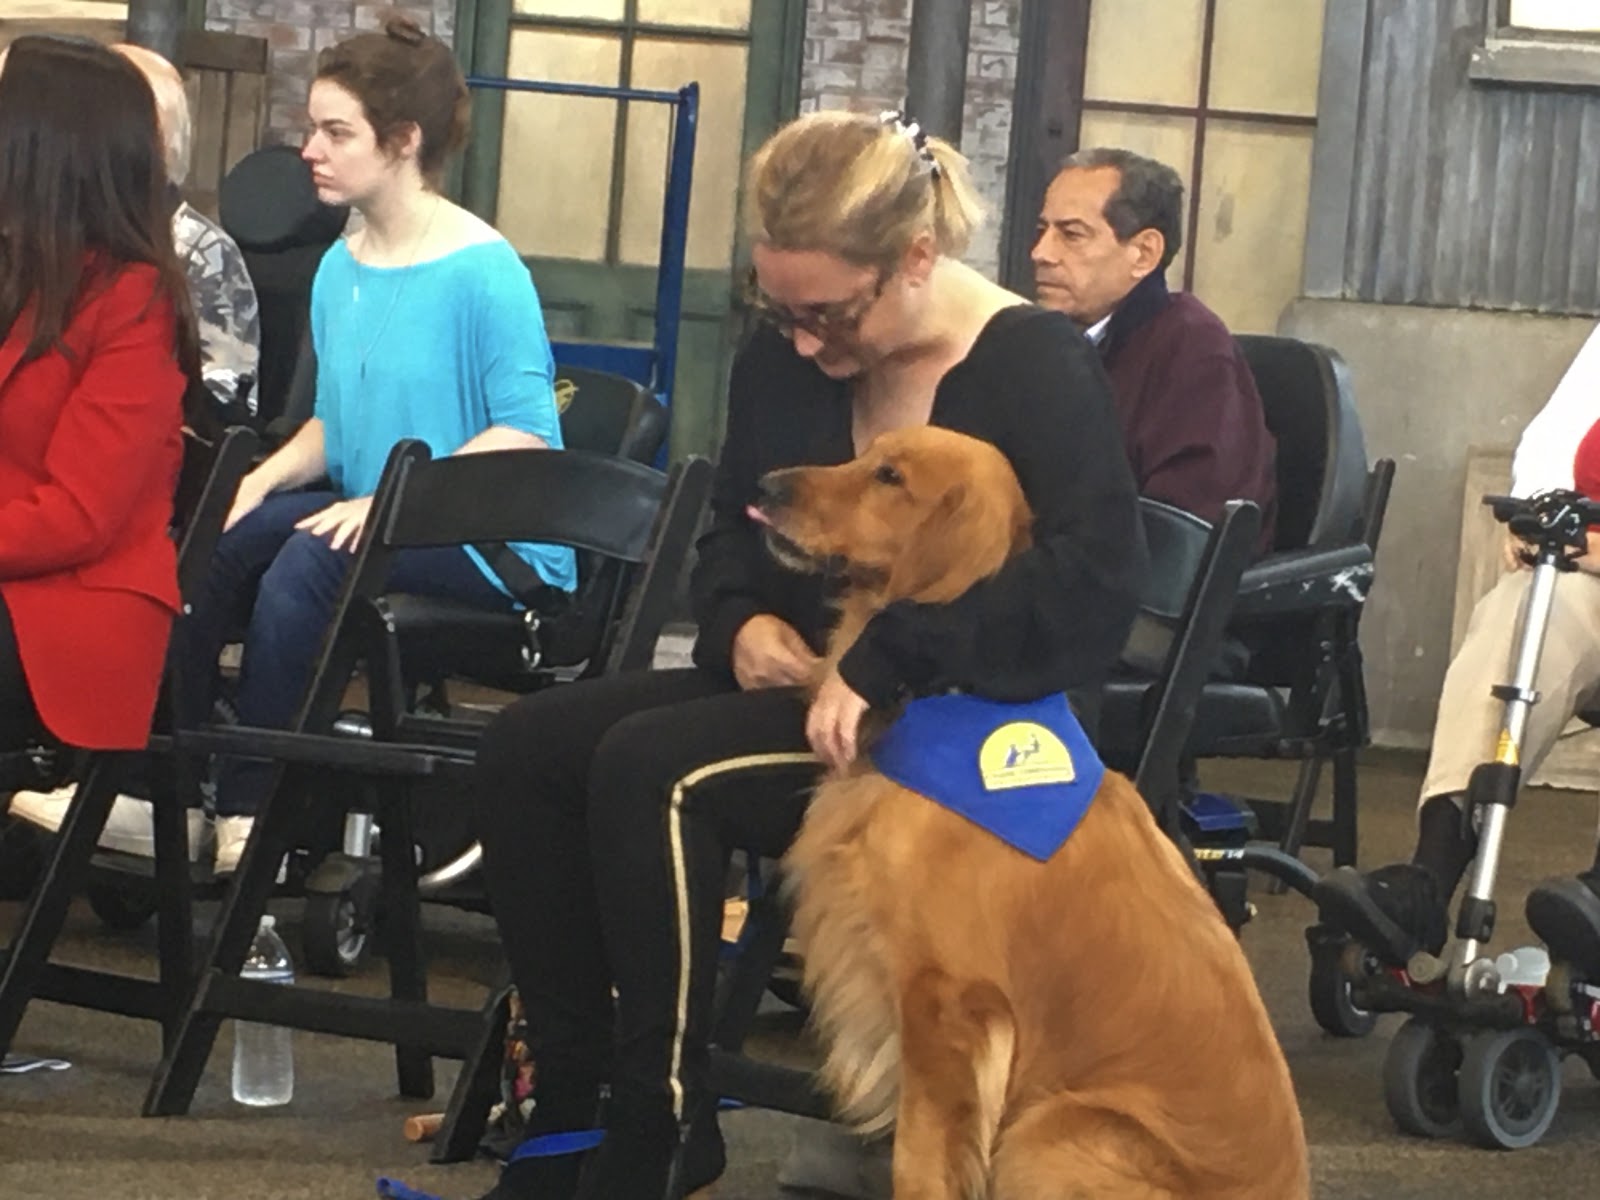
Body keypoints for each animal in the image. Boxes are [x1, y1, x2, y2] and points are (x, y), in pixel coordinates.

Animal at [752, 426, 1308, 1200]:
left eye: (890, 477)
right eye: (864, 454)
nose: (767, 486)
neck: (948, 702)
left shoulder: (946, 1004)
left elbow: (921, 1163)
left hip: (1052, 1131)